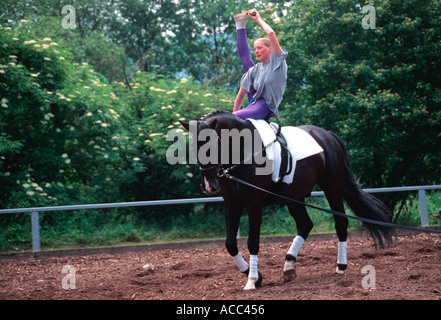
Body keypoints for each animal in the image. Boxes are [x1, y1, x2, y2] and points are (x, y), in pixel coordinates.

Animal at [179, 110, 392, 290]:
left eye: (213, 146)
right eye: (193, 147)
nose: (209, 185)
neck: (242, 153)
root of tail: (327, 135)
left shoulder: (254, 204)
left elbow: (252, 242)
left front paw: (252, 280)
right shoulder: (231, 203)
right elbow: (230, 244)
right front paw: (255, 275)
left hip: (332, 188)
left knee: (340, 222)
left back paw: (340, 266)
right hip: (294, 196)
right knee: (305, 225)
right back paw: (289, 266)